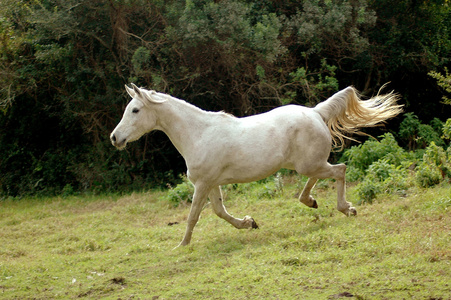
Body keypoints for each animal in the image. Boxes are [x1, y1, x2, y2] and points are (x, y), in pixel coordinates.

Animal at [110, 84, 402, 246]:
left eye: (135, 110)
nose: (115, 138)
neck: (199, 133)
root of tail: (316, 112)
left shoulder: (202, 184)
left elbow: (193, 216)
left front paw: (181, 245)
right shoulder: (212, 184)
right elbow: (219, 212)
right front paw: (249, 223)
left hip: (309, 164)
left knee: (339, 170)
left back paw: (346, 208)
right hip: (307, 164)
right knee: (320, 177)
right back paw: (310, 201)